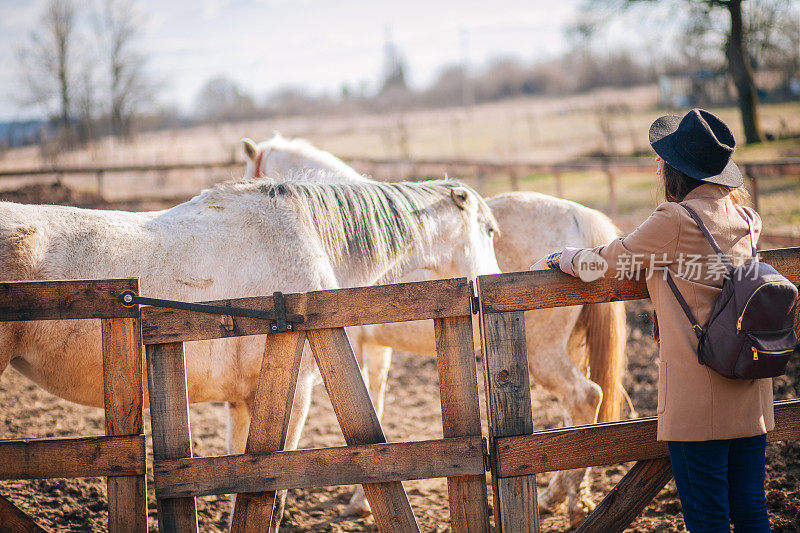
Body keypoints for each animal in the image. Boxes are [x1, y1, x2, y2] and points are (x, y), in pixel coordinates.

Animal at [0, 176, 500, 528]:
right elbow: (270, 497)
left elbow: (241, 485)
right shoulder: (293, 393)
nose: (492, 281)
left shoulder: (243, 401)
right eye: (491, 231)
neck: (309, 238)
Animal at [241, 134, 628, 524]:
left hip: (542, 351)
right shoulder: (373, 348)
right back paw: (560, 495)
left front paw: (360, 499)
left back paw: (572, 502)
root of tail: (578, 215)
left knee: (584, 396)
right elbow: (375, 406)